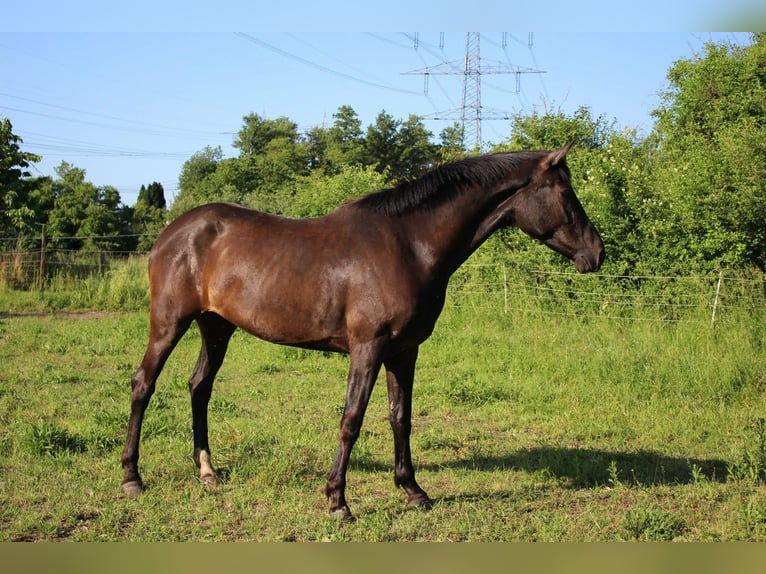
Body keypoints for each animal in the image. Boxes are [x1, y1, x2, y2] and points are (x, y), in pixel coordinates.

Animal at [120, 143, 605, 519]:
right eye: (566, 192)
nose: (596, 253)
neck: (409, 245)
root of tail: (171, 234)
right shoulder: (367, 348)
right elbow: (352, 418)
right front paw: (338, 501)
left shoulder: (405, 351)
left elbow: (400, 417)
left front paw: (413, 491)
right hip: (169, 323)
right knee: (144, 384)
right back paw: (131, 477)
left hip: (216, 327)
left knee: (199, 386)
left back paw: (207, 472)